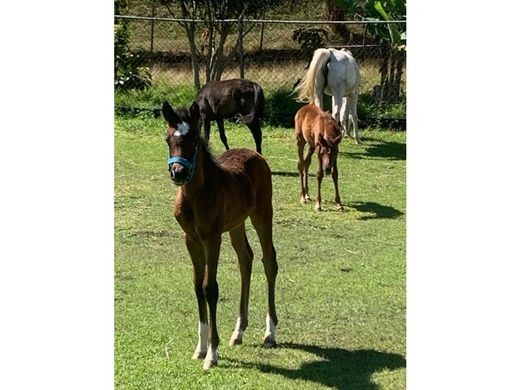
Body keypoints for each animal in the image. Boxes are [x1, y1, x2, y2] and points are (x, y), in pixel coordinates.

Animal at [162, 100, 278, 368]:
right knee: (246, 259)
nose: (178, 172)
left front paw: (212, 353)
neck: (196, 195)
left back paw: (270, 333)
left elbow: (210, 287)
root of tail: (255, 154)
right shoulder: (191, 240)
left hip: (262, 214)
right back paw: (239, 332)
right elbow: (197, 286)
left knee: (269, 260)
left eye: (194, 139)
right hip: (236, 224)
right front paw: (200, 348)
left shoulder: (212, 238)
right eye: (168, 139)